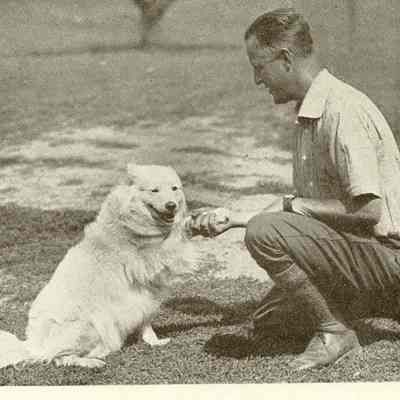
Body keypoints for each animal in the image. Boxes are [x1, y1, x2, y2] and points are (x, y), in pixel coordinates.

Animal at [0, 164, 198, 369]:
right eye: (154, 190)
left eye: (174, 189)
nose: (171, 205)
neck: (129, 221)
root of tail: (32, 345)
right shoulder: (155, 261)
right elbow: (182, 245)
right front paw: (193, 228)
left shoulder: (146, 294)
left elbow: (146, 321)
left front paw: (154, 341)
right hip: (88, 326)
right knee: (58, 358)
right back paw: (91, 362)